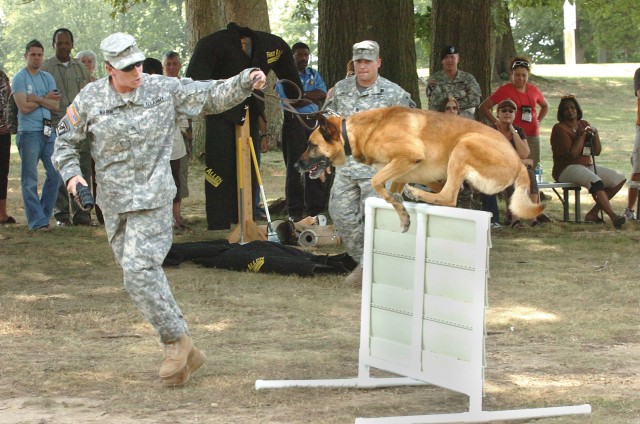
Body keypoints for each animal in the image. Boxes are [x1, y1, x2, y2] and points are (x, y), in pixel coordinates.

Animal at [296, 106, 544, 232]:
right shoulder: (403, 170)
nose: (297, 165)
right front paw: (402, 214)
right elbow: (388, 192)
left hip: (463, 146)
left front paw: (399, 202)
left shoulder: (408, 156)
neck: (360, 132)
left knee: (448, 196)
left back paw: (416, 193)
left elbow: (377, 183)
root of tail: (520, 163)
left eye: (311, 144)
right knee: (446, 193)